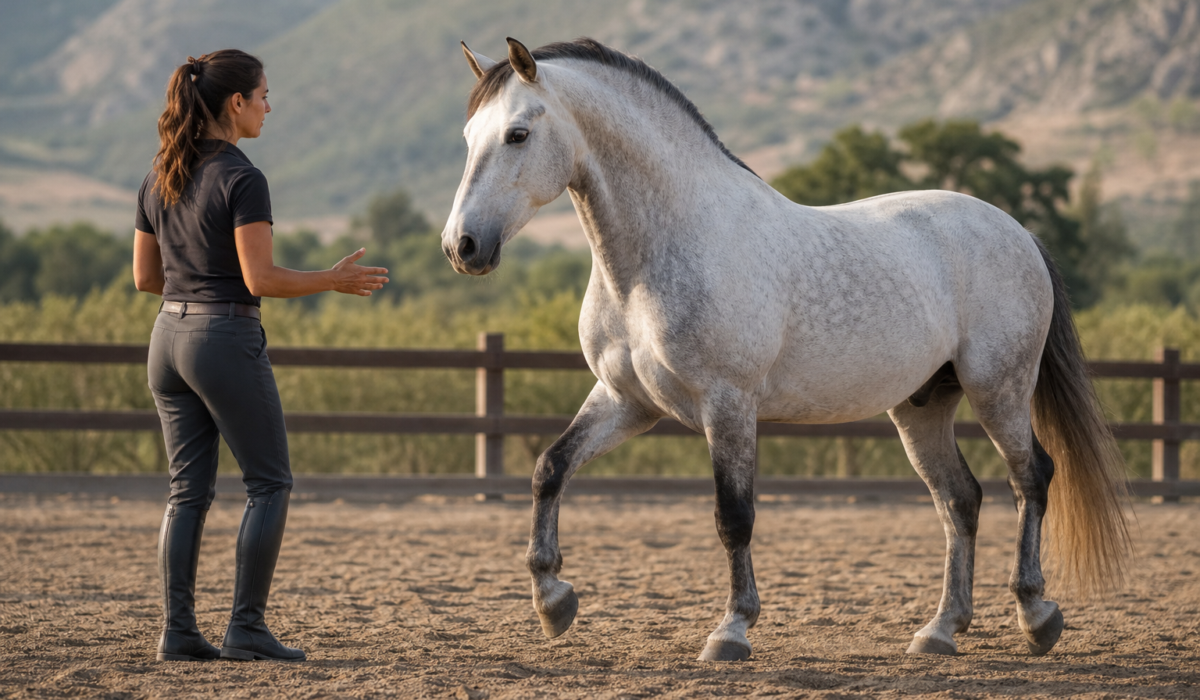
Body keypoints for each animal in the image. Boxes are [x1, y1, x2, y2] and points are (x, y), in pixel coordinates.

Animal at [441, 37, 1131, 662]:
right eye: (469, 136)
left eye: (518, 135)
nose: (461, 246)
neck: (656, 258)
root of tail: (1016, 231)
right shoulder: (626, 402)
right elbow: (549, 469)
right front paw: (553, 602)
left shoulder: (728, 405)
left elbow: (733, 515)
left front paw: (730, 632)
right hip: (922, 406)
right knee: (960, 500)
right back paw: (939, 632)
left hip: (999, 389)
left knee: (1031, 478)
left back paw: (1036, 616)